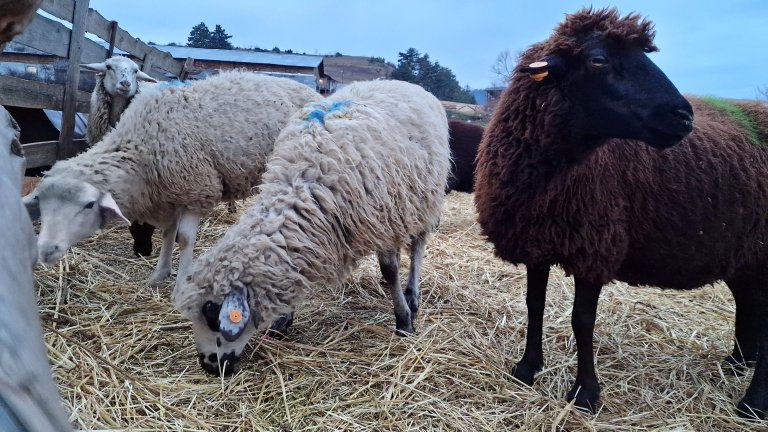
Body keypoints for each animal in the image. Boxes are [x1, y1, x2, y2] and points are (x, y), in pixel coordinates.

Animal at [24, 71, 320, 286]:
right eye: (42, 205)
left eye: (87, 205)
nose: (45, 250)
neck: (140, 146)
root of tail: (312, 90)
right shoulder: (169, 194)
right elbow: (168, 233)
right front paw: (159, 274)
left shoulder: (197, 188)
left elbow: (185, 240)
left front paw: (180, 283)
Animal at [171, 79, 450, 376]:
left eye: (213, 316)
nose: (209, 366)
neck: (304, 184)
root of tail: (401, 81)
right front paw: (283, 320)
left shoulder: (383, 221)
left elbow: (390, 271)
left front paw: (404, 321)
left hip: (424, 201)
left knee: (418, 248)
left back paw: (412, 296)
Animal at [474, 5, 768, 418]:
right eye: (598, 60)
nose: (684, 117)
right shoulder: (537, 241)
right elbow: (534, 305)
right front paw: (526, 369)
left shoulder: (595, 245)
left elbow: (582, 321)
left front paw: (584, 393)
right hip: (743, 251)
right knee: (750, 303)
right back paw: (738, 363)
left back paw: (753, 403)